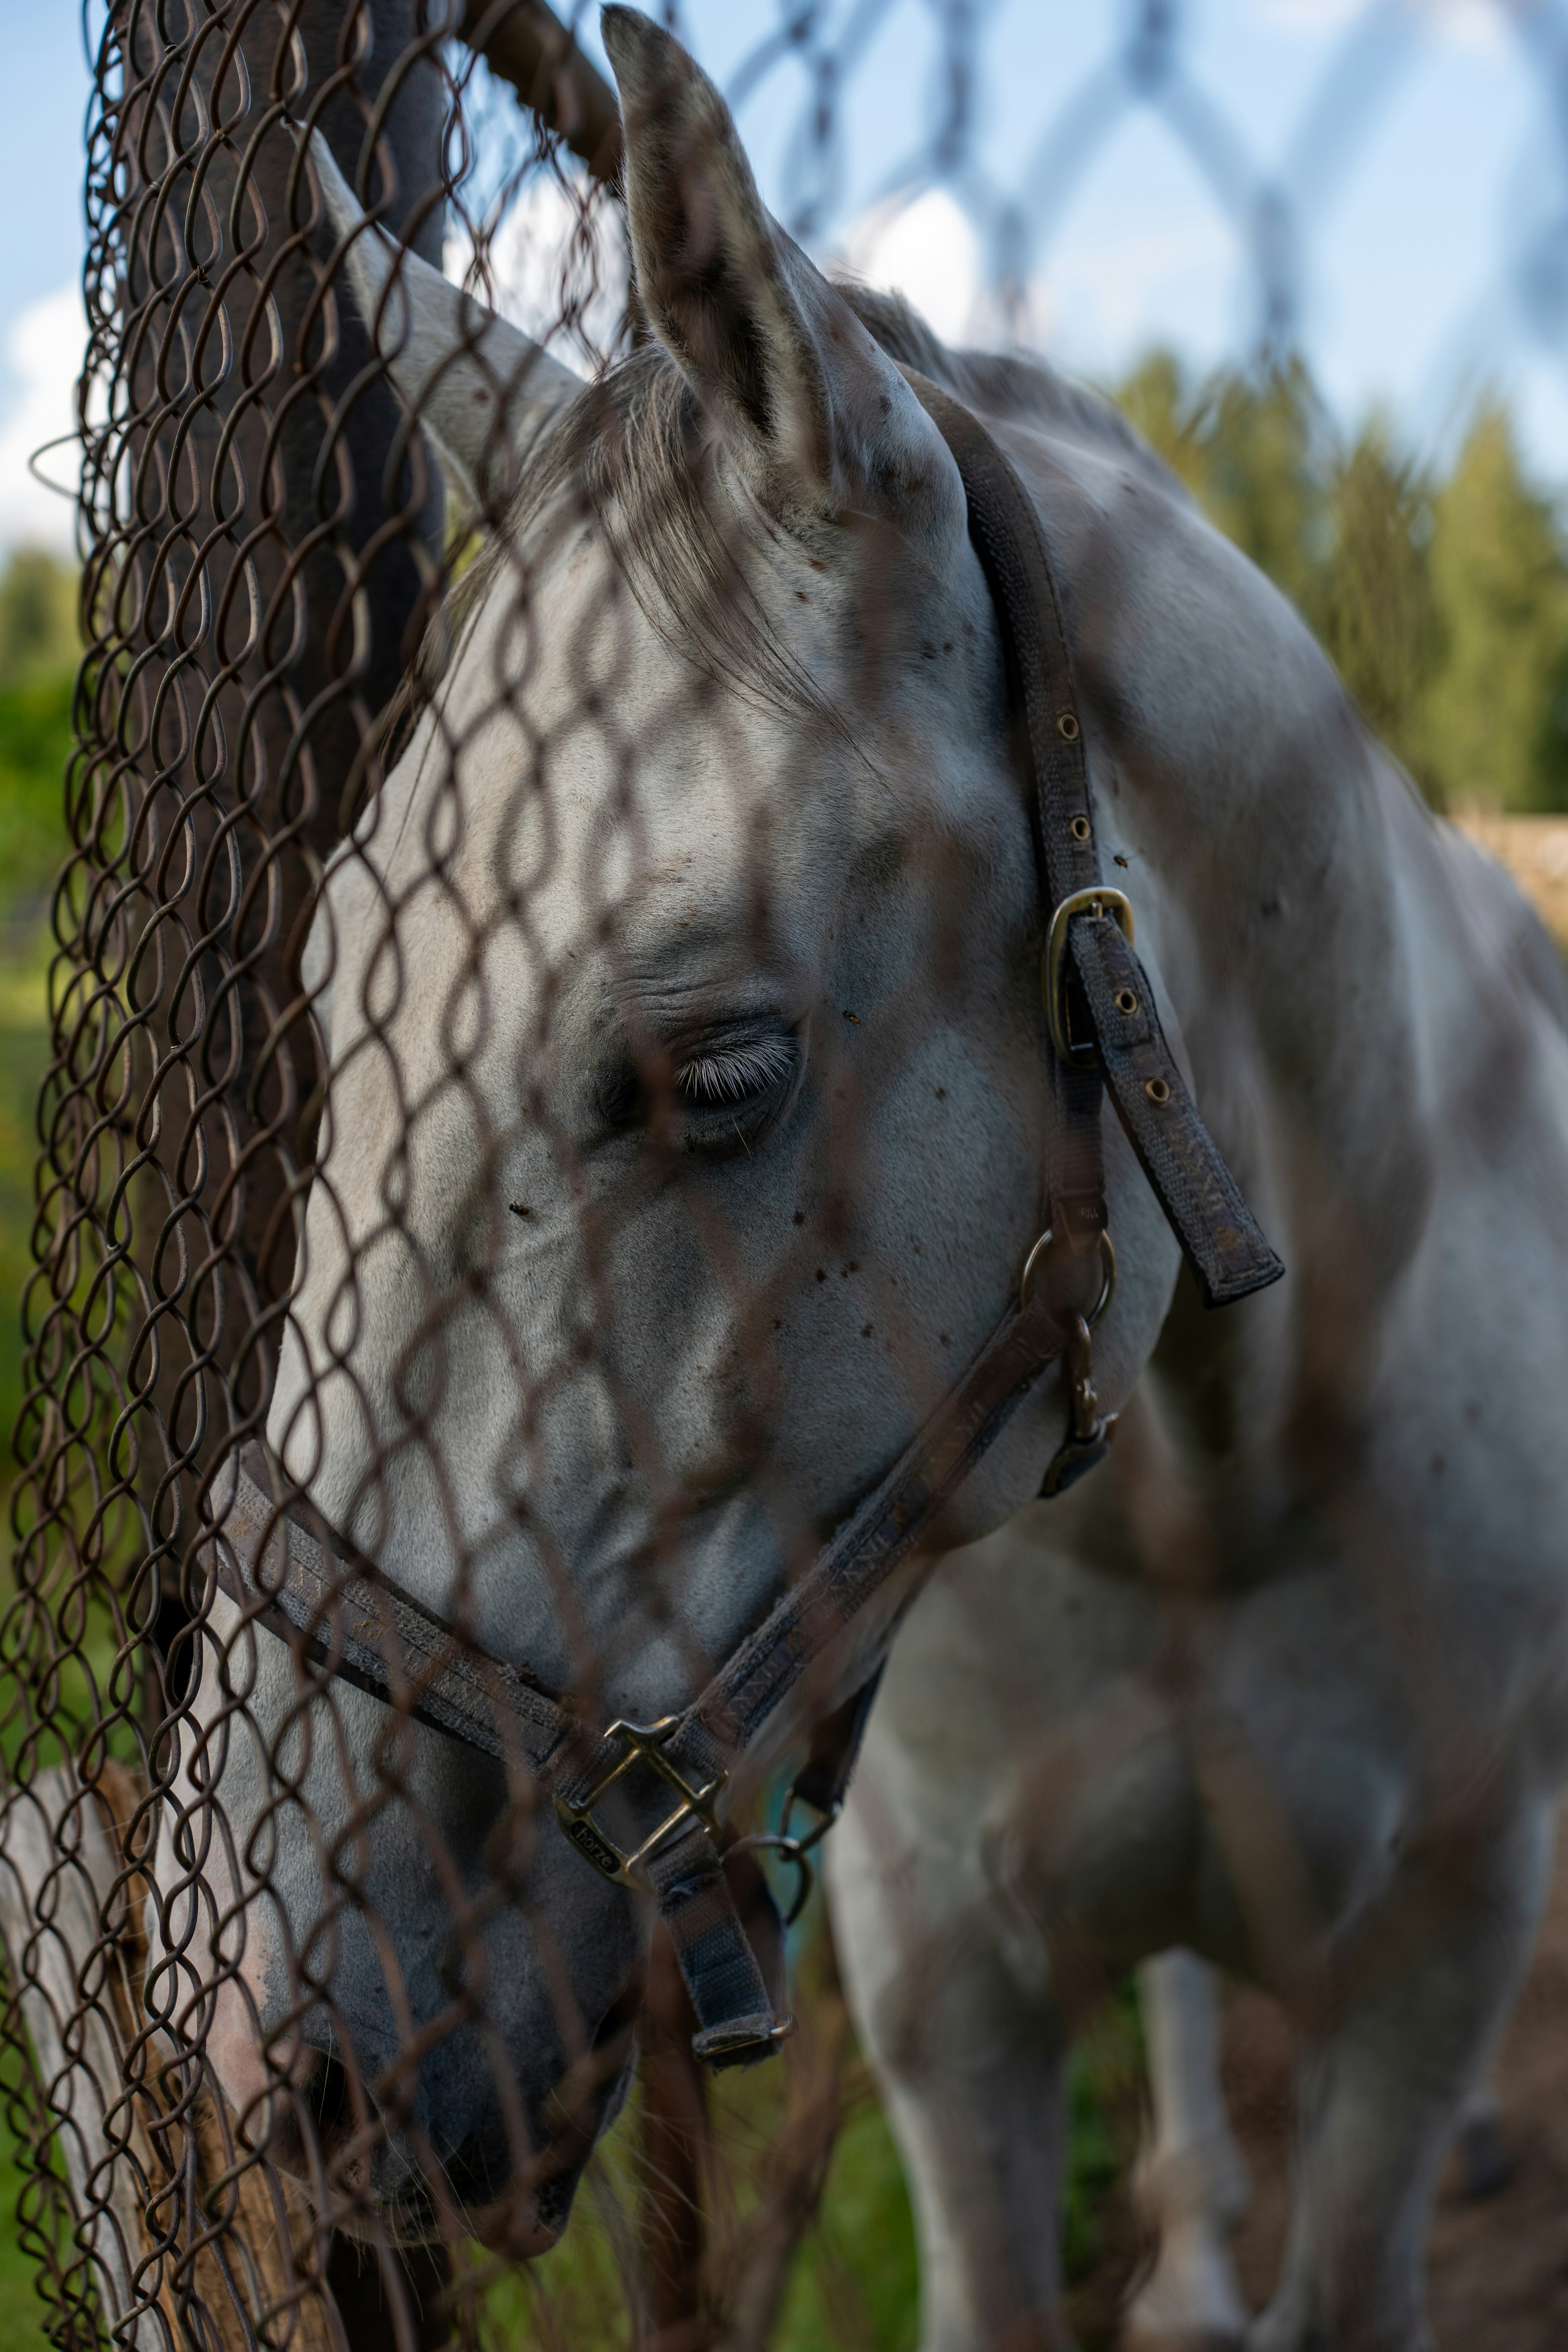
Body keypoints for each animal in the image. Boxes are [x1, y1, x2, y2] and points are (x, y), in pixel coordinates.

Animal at [143, 9, 1568, 2345]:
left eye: (713, 1068)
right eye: (339, 981)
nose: (258, 2054)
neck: (1222, 1509)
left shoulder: (1426, 1978)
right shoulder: (950, 2003)